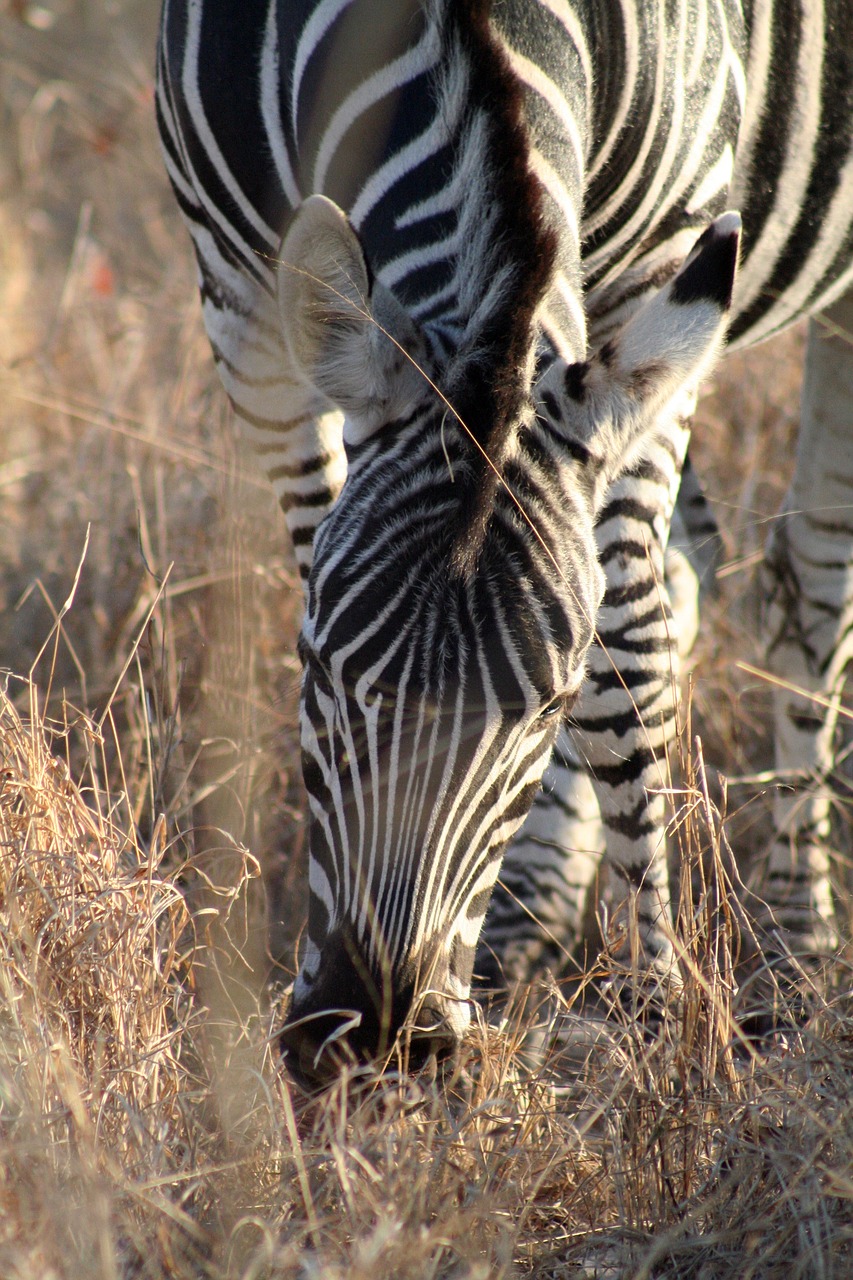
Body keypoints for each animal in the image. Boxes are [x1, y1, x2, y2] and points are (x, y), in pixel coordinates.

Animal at [154, 0, 850, 1090]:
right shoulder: (239, 306)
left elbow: (629, 667)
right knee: (701, 571)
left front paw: (658, 1012)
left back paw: (794, 941)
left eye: (547, 706)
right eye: (317, 668)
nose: (380, 1033)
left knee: (805, 579)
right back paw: (531, 917)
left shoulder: (658, 274)